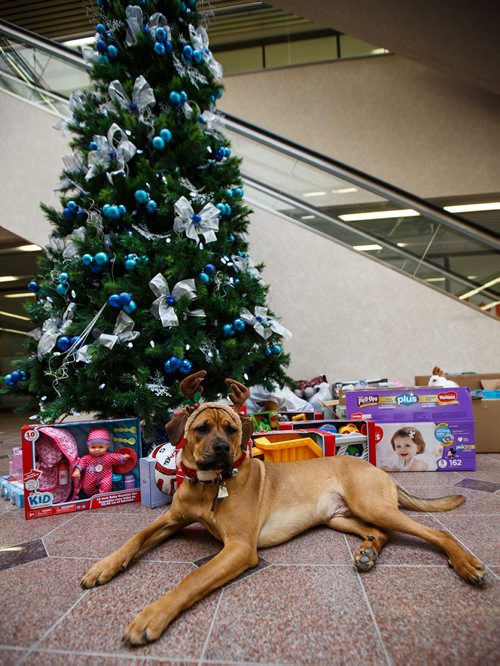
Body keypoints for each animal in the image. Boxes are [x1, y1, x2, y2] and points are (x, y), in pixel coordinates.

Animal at [81, 368, 484, 644]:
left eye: (231, 429)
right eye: (202, 429)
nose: (222, 449)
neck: (211, 485)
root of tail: (373, 466)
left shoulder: (239, 548)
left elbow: (193, 578)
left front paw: (152, 615)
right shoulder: (171, 519)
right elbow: (135, 538)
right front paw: (103, 567)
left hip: (371, 505)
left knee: (435, 533)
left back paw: (465, 563)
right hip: (341, 518)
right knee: (380, 533)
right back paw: (367, 553)